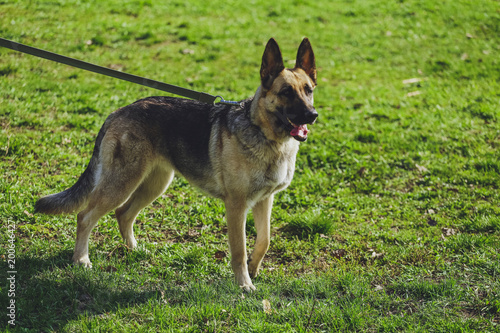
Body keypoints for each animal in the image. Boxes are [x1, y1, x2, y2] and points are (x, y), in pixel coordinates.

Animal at [35, 37, 318, 290]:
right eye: (285, 92)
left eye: (309, 90)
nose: (312, 115)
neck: (265, 134)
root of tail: (117, 112)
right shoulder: (236, 206)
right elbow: (238, 250)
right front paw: (244, 284)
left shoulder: (264, 200)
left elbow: (264, 240)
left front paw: (254, 269)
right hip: (121, 184)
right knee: (85, 216)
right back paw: (81, 259)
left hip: (154, 184)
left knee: (123, 213)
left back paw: (135, 249)